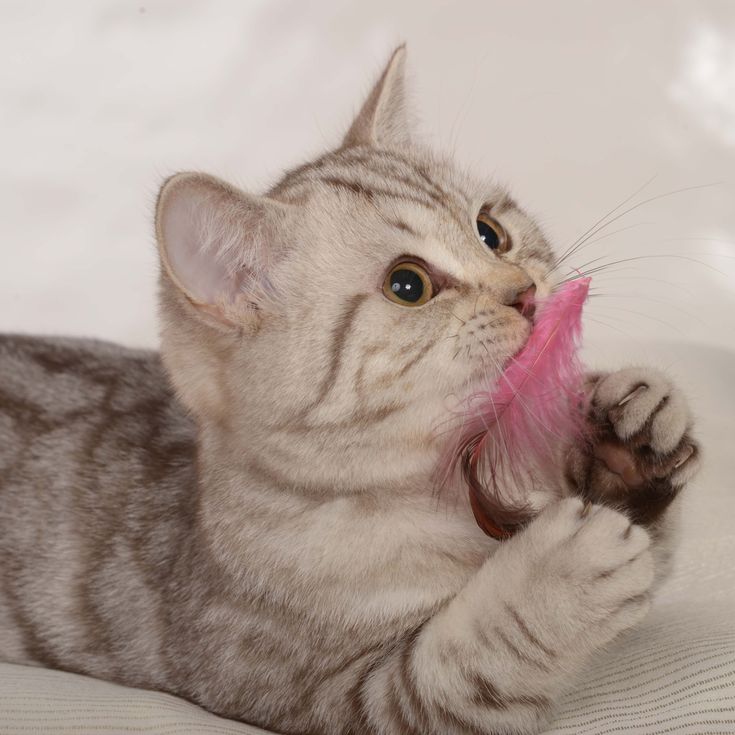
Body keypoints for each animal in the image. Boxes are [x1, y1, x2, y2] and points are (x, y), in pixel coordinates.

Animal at [0, 46, 700, 735]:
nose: (524, 292)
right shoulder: (325, 695)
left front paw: (632, 425)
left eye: (489, 231)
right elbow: (461, 663)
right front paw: (560, 574)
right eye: (408, 285)